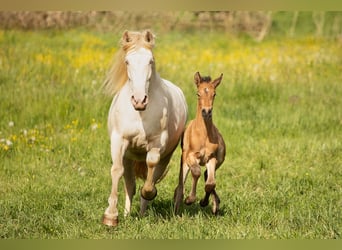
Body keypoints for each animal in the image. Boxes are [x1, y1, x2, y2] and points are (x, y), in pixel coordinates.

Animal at [102, 29, 187, 227]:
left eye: (150, 60)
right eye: (127, 61)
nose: (139, 101)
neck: (140, 114)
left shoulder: (157, 144)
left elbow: (151, 168)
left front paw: (148, 193)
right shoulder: (119, 141)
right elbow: (116, 171)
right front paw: (111, 216)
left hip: (166, 155)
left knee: (153, 174)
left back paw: (142, 212)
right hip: (128, 156)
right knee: (130, 185)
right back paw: (127, 215)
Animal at [175, 71, 226, 214]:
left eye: (214, 94)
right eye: (198, 93)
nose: (206, 111)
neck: (203, 136)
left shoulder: (211, 158)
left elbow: (210, 183)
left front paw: (204, 202)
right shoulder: (191, 156)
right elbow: (196, 172)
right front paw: (189, 200)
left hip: (220, 159)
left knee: (206, 175)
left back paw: (215, 204)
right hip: (184, 161)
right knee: (181, 183)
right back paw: (177, 207)